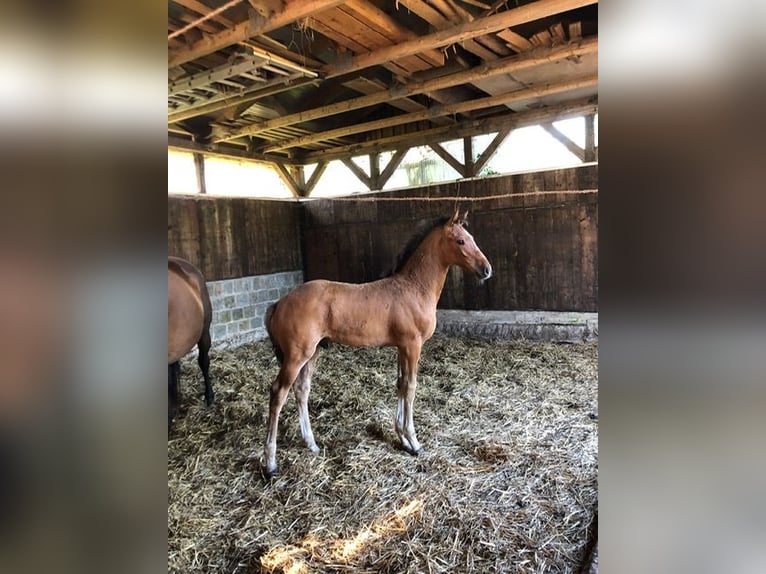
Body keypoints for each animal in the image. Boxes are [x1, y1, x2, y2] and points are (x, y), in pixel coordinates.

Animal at [264, 212, 492, 476]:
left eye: (471, 237)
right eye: (460, 241)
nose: (486, 269)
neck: (414, 289)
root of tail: (279, 302)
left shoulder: (402, 347)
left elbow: (400, 385)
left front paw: (403, 439)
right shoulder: (413, 345)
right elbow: (411, 387)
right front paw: (414, 442)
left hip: (312, 354)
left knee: (302, 390)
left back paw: (312, 444)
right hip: (296, 356)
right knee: (278, 393)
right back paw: (270, 463)